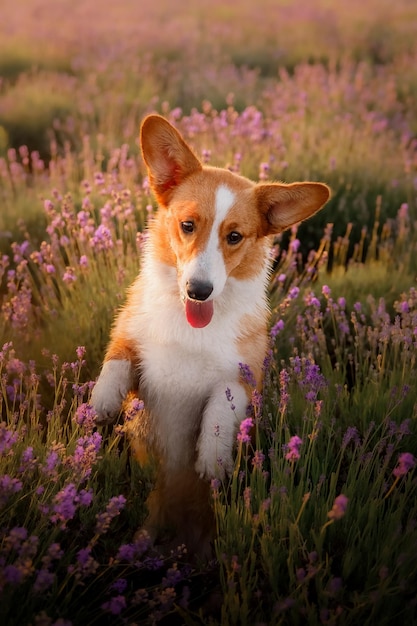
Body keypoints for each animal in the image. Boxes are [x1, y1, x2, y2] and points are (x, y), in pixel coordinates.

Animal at [90, 114, 328, 552]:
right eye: (187, 226)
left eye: (234, 237)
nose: (198, 291)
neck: (192, 328)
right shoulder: (128, 333)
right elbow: (116, 361)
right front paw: (100, 404)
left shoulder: (242, 375)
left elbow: (221, 407)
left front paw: (212, 458)